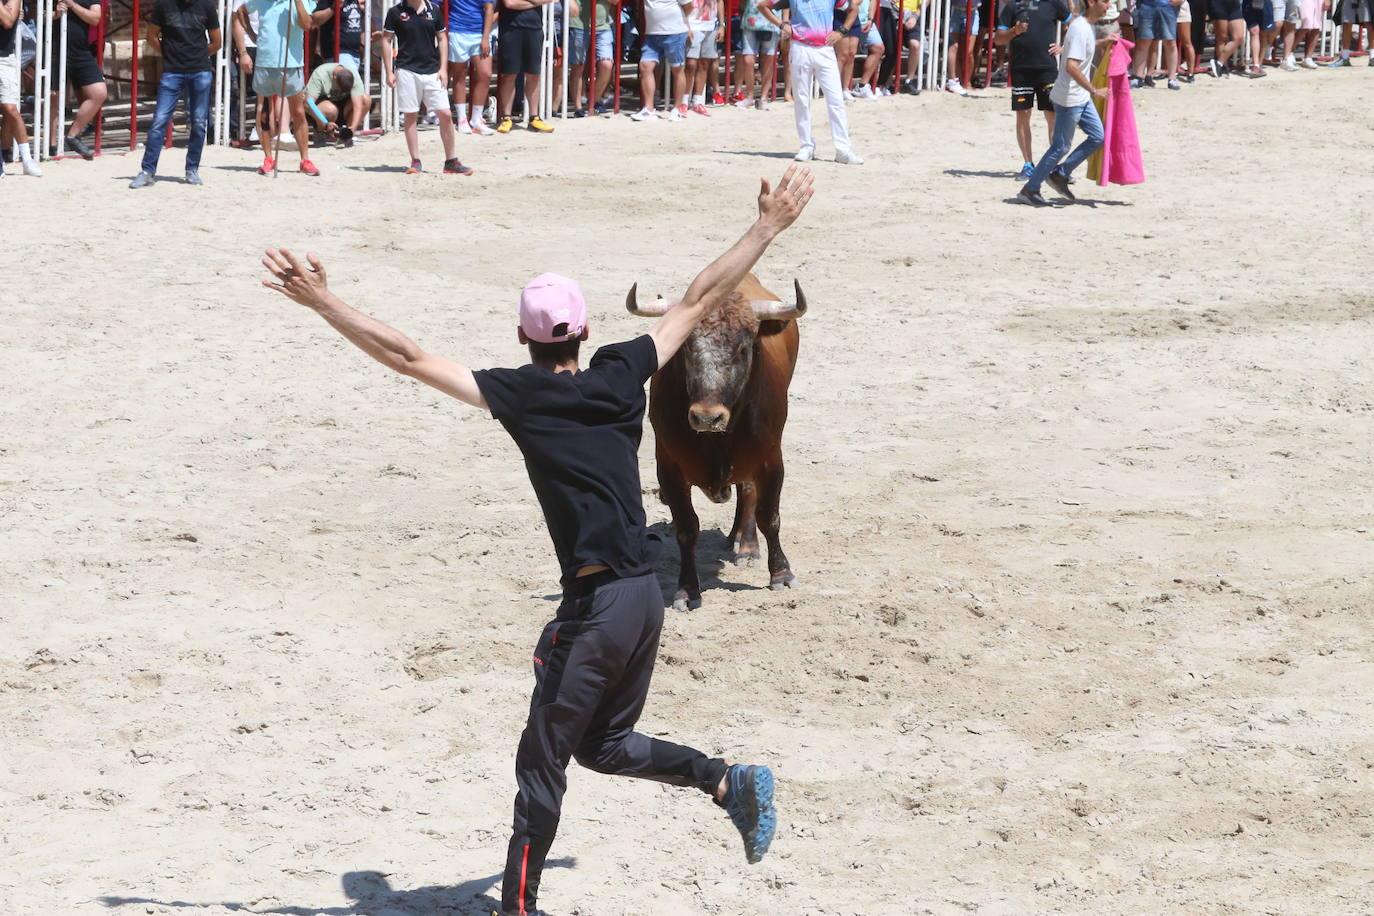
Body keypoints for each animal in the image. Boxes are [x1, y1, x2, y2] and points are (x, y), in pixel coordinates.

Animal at [626, 276, 802, 612]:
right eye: (684, 348)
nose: (707, 417)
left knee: (748, 491)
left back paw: (746, 544)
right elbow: (686, 528)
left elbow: (769, 516)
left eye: (743, 347)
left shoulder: (772, 459)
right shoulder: (668, 467)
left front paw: (781, 573)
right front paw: (686, 590)